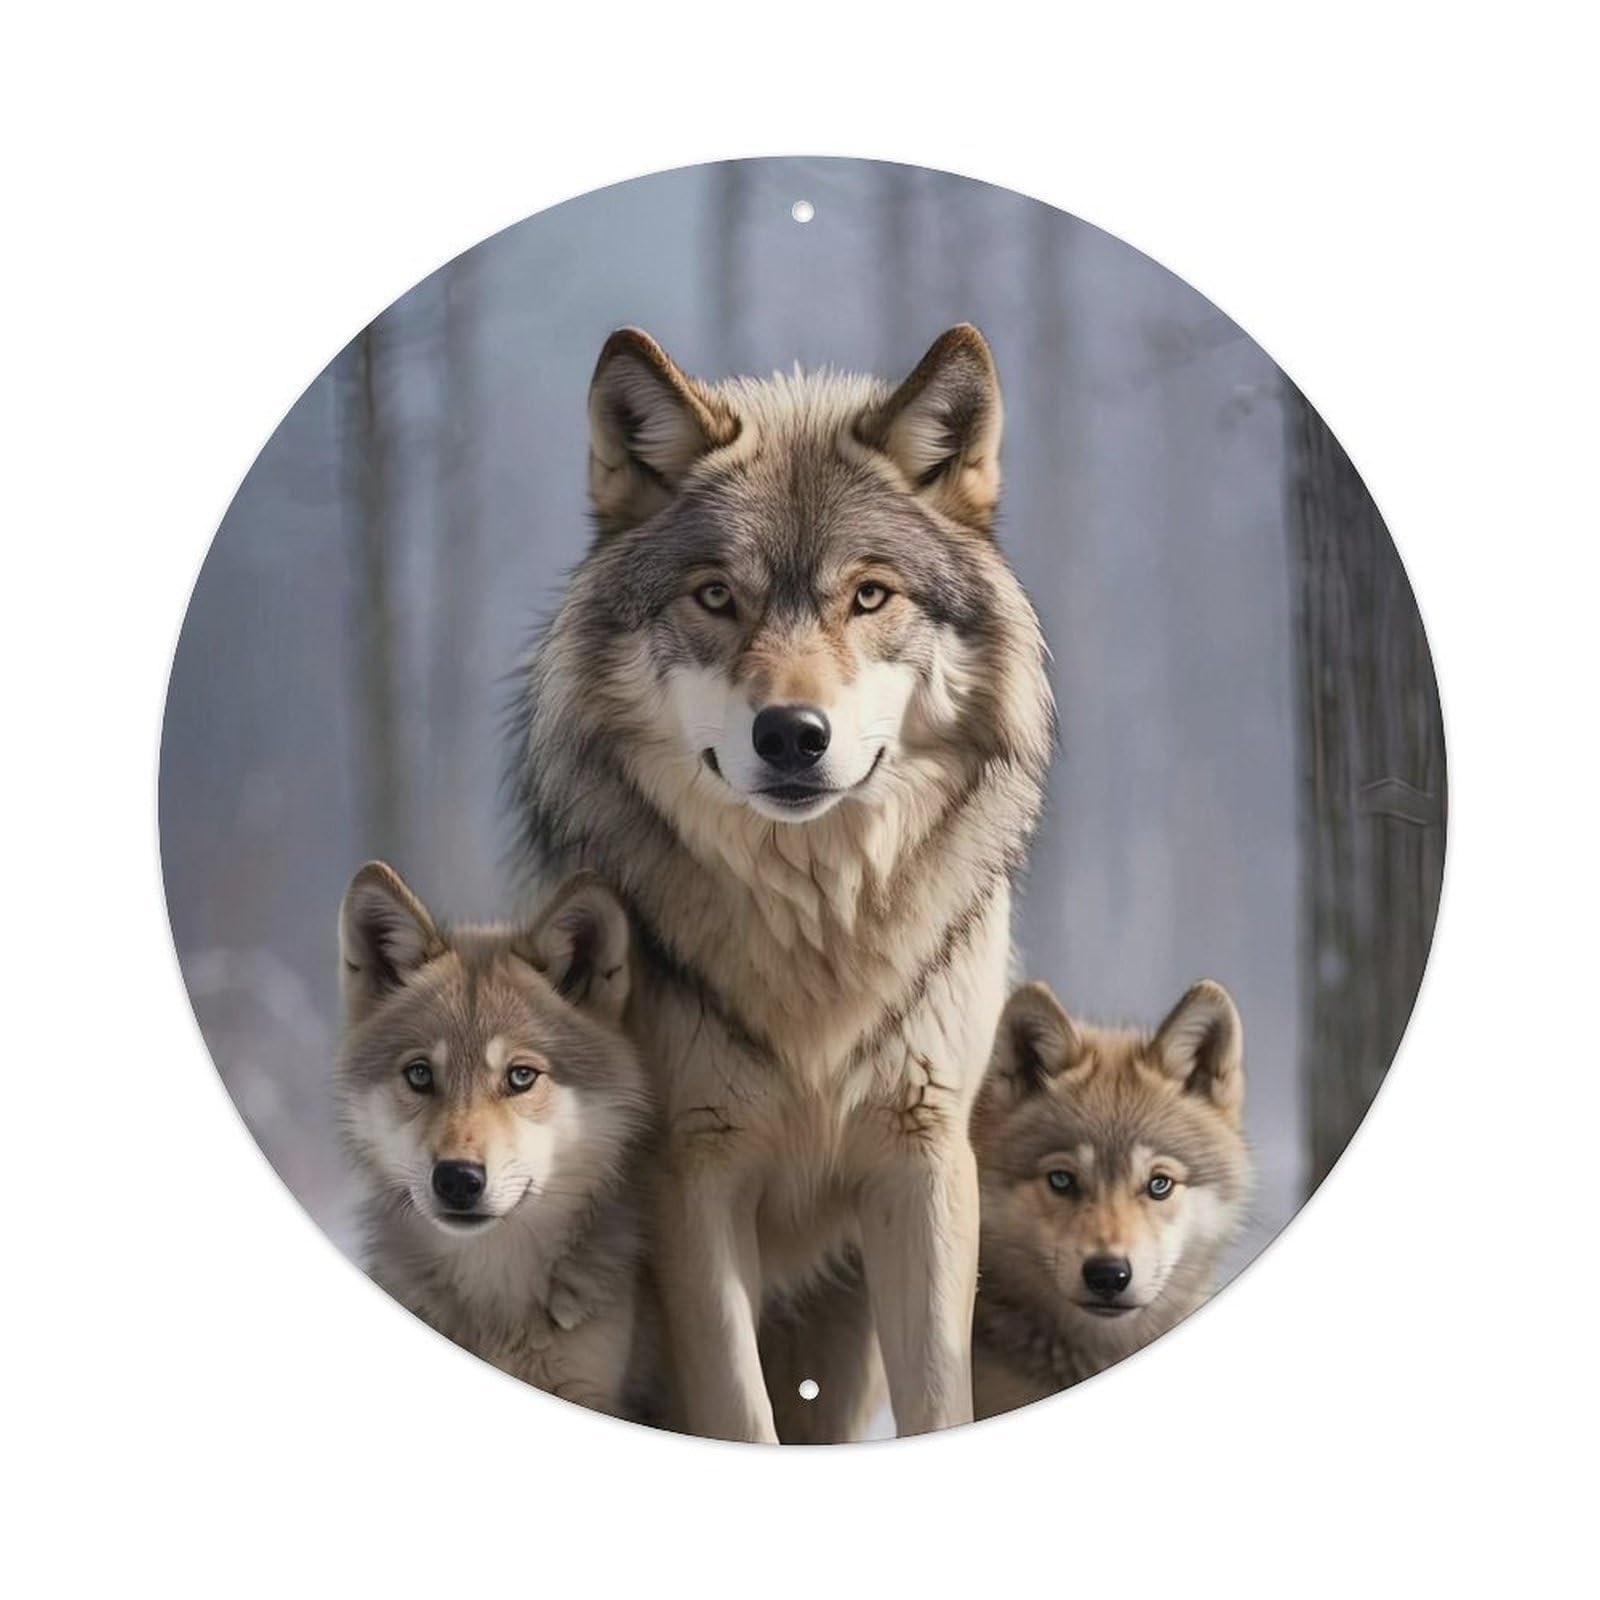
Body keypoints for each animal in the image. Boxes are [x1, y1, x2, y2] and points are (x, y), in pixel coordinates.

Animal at [510, 325, 1053, 1440]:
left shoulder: (924, 1166)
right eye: (718, 595)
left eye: (870, 594)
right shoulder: (691, 1180)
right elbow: (737, 1412)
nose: (793, 734)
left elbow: (943, 1397)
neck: (815, 933)